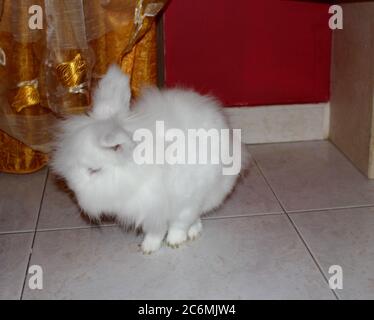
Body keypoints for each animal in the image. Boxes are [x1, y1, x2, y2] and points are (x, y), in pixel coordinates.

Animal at [50, 65, 248, 254]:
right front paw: (148, 248)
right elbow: (155, 231)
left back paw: (193, 232)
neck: (138, 174)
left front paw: (175, 242)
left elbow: (179, 224)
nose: (73, 189)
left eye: (94, 170)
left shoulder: (184, 200)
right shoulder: (151, 213)